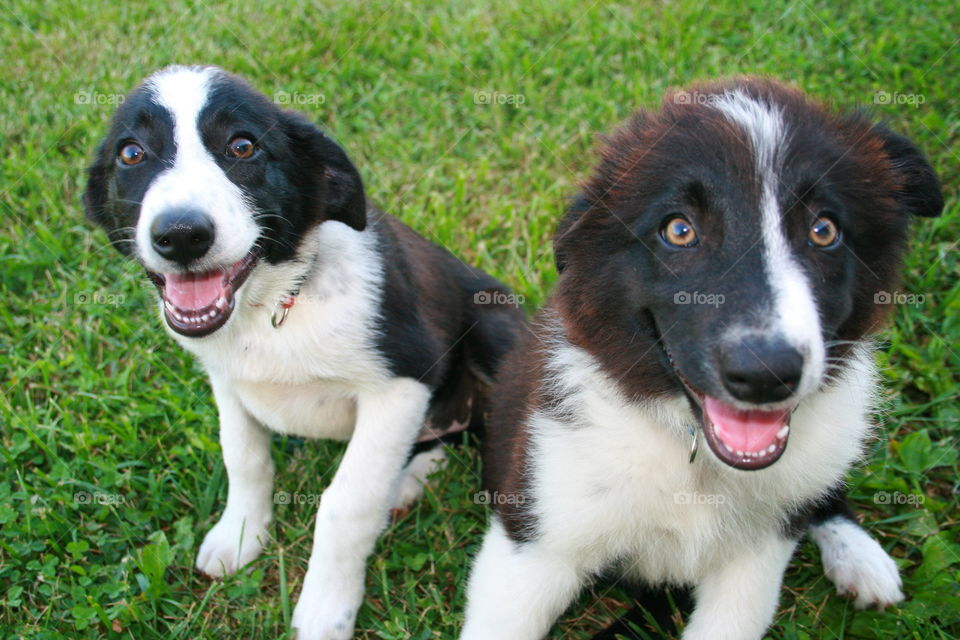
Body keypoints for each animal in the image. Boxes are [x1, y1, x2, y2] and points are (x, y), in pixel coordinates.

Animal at [86, 66, 524, 640]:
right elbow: (243, 457)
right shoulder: (226, 380)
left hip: (495, 328)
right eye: (131, 153)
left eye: (242, 146)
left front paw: (326, 608)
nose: (180, 235)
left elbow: (346, 503)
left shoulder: (401, 384)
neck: (274, 304)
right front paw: (241, 535)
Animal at [462, 77, 940, 636]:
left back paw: (860, 557)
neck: (695, 457)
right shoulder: (536, 541)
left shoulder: (756, 560)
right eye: (679, 230)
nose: (766, 374)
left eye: (824, 230)